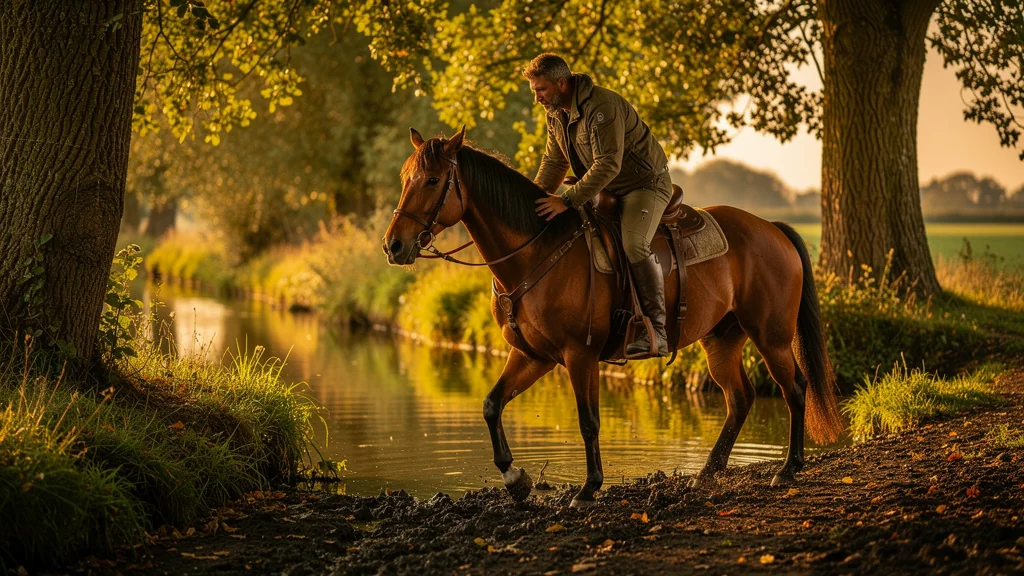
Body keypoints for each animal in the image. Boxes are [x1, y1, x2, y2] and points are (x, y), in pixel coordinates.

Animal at [383, 126, 843, 507]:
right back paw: (708, 473)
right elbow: (491, 405)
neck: (537, 249)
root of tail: (771, 228)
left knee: (795, 389)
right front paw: (516, 481)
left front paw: (588, 488)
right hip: (722, 340)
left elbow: (588, 421)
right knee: (741, 398)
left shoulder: (579, 355)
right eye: (404, 180)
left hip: (771, 336)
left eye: (432, 180)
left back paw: (788, 469)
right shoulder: (533, 356)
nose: (394, 246)